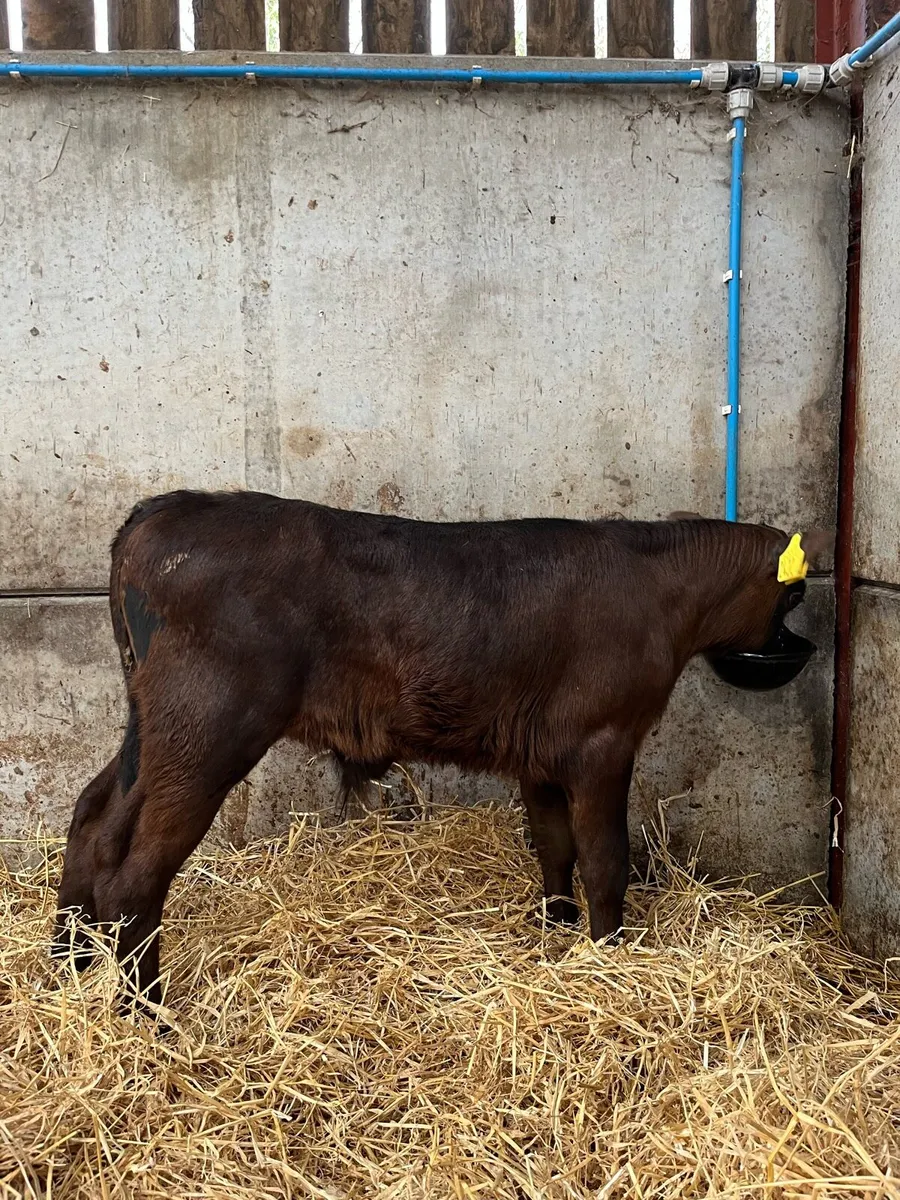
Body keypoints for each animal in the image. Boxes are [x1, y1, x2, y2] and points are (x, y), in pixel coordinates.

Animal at [52, 490, 831, 1008]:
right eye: (792, 599)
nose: (800, 646)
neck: (658, 588)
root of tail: (164, 509)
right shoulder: (601, 743)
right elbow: (607, 860)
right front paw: (610, 954)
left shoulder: (541, 755)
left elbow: (554, 845)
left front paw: (555, 928)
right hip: (208, 727)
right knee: (137, 869)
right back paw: (146, 1013)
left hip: (151, 724)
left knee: (93, 817)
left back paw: (68, 966)